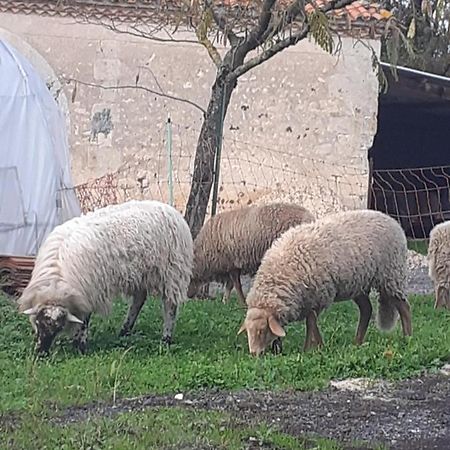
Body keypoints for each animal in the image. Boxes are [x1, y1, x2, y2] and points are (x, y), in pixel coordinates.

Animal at [17, 201, 192, 356]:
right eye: (39, 323)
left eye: (59, 327)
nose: (41, 353)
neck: (57, 279)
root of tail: (170, 209)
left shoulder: (89, 291)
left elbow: (85, 320)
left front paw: (80, 345)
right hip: (141, 274)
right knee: (139, 299)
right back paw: (124, 331)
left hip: (172, 271)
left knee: (170, 305)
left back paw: (166, 338)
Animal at [237, 209, 414, 356]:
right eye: (248, 331)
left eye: (261, 331)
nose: (254, 354)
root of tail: (390, 219)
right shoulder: (308, 299)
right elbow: (311, 322)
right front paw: (317, 346)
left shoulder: (319, 295)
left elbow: (311, 322)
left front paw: (309, 349)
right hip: (358, 283)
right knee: (366, 309)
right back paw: (357, 342)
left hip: (391, 275)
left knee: (404, 307)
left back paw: (407, 338)